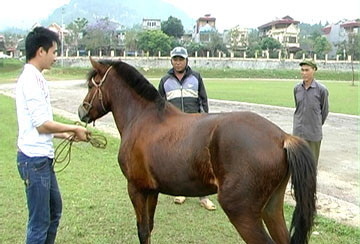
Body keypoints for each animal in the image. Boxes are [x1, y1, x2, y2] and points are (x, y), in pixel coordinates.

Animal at [78, 57, 316, 244]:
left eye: (91, 85)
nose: (82, 111)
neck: (143, 118)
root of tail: (283, 137)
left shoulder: (136, 189)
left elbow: (142, 231)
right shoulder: (151, 190)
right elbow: (150, 227)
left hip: (242, 212)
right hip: (271, 208)